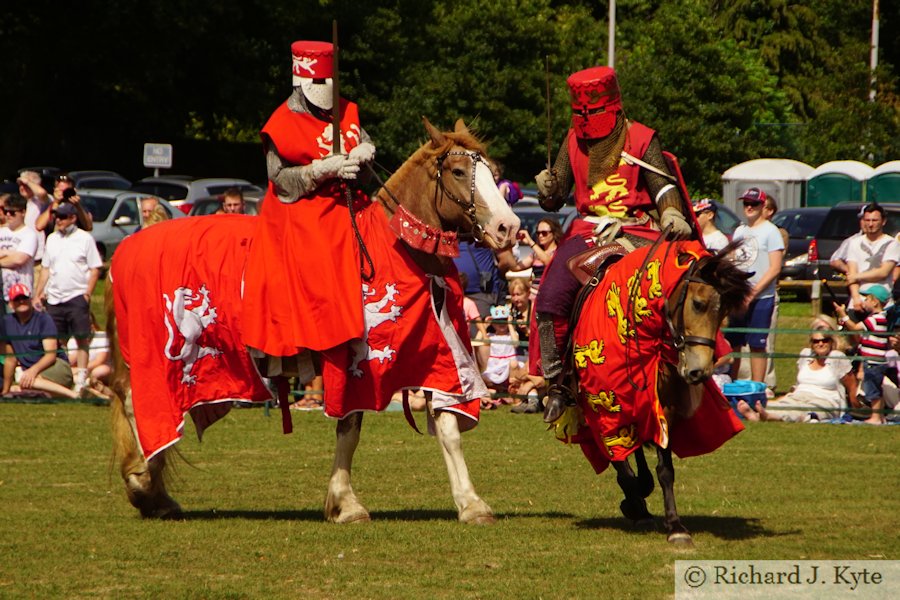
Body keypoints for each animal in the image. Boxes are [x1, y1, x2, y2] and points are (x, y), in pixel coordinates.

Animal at [107, 118, 520, 524]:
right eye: (457, 171)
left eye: (493, 171)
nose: (509, 227)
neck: (395, 249)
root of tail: (125, 248)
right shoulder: (354, 366)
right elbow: (349, 430)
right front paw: (346, 503)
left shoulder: (438, 356)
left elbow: (448, 427)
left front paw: (470, 503)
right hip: (153, 360)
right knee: (136, 404)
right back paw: (143, 485)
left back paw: (156, 494)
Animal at [560, 238, 748, 544]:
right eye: (698, 304)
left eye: (724, 313)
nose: (699, 371)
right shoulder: (600, 413)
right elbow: (618, 459)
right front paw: (635, 501)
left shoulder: (662, 410)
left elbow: (665, 470)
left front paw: (675, 525)